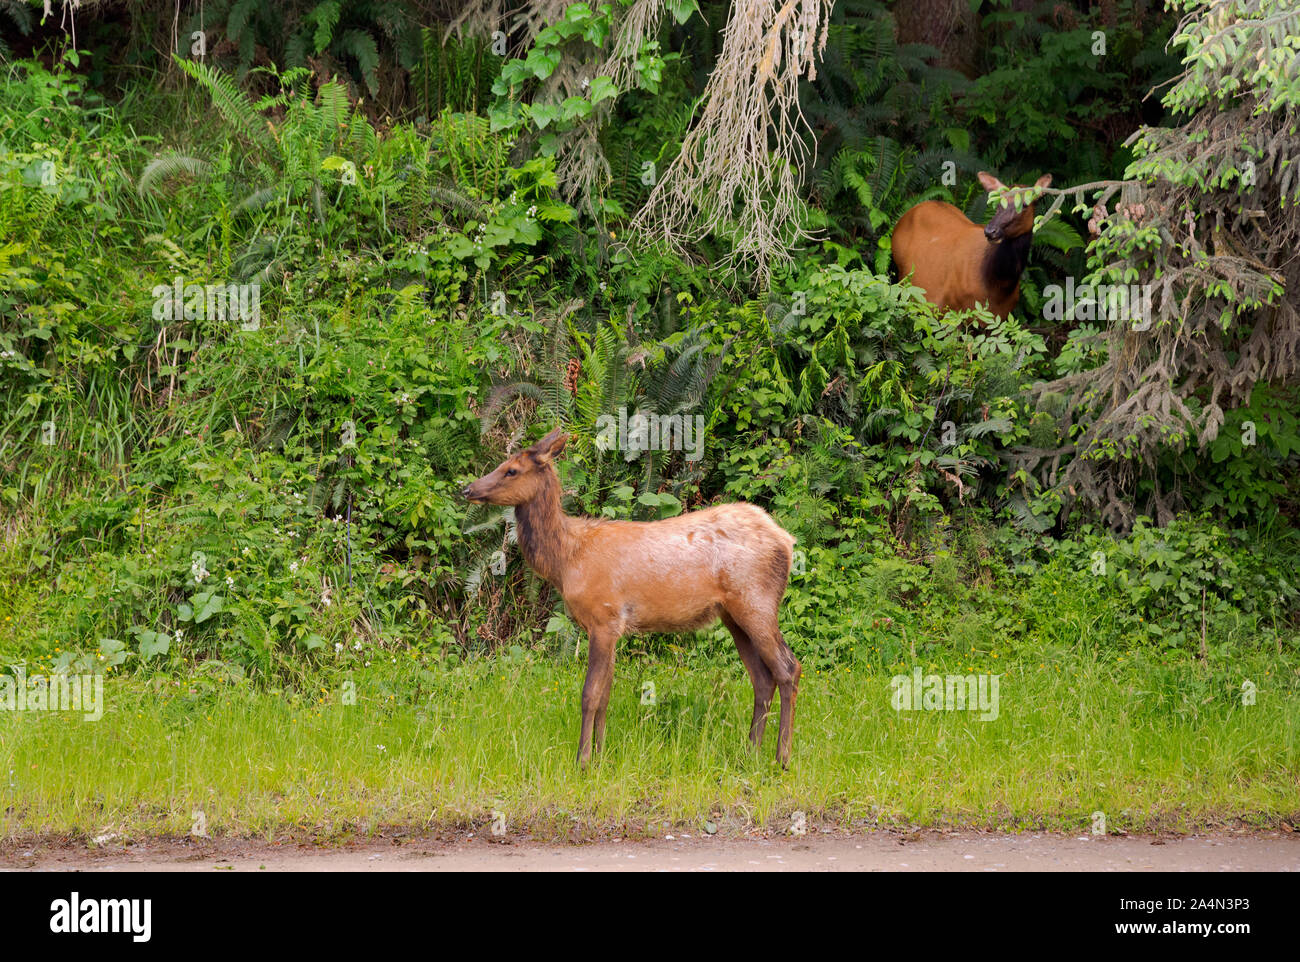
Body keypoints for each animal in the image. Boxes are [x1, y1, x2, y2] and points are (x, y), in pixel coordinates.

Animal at [457, 428, 800, 764]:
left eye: (512, 470)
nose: (468, 489)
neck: (567, 560)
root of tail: (787, 540)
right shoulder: (611, 627)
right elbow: (605, 696)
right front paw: (600, 756)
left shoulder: (604, 617)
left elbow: (590, 694)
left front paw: (582, 760)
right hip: (732, 613)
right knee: (762, 678)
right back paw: (750, 752)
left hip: (756, 600)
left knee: (788, 668)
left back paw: (782, 757)